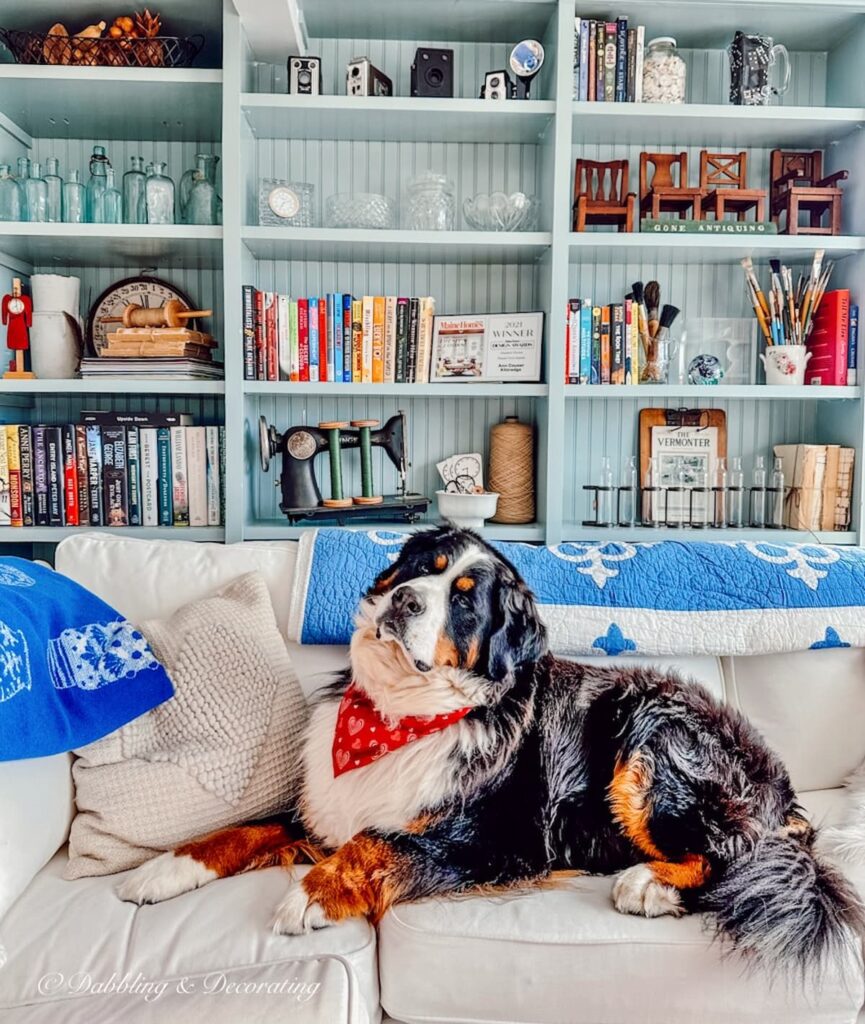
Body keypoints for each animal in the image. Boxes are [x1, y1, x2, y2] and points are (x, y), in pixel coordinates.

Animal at [116, 528, 863, 974]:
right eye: (423, 568)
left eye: (466, 603)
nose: (405, 600)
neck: (398, 714)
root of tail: (776, 782)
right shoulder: (321, 807)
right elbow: (245, 828)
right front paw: (163, 869)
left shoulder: (497, 840)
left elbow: (375, 843)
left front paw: (313, 894)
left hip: (650, 741)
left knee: (736, 853)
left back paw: (650, 885)